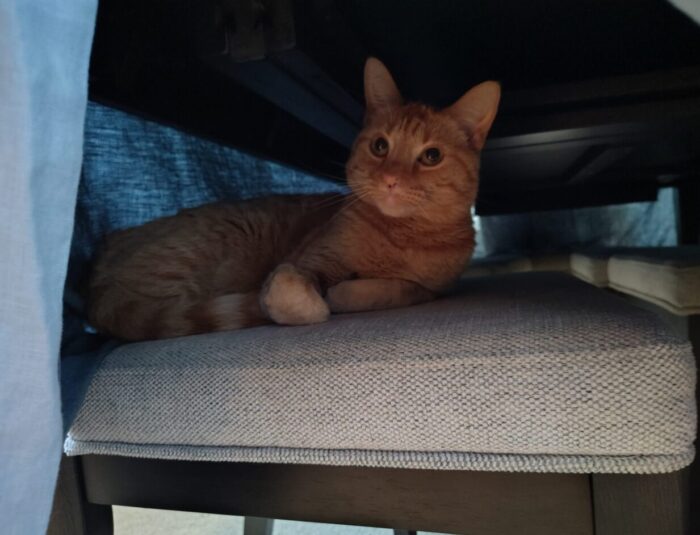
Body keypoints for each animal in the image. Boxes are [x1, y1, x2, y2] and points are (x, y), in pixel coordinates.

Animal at [87, 57, 500, 340]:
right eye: (381, 147)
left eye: (431, 156)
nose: (390, 180)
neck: (401, 236)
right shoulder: (305, 261)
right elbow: (295, 298)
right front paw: (322, 298)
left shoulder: (434, 288)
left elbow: (399, 288)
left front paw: (349, 292)